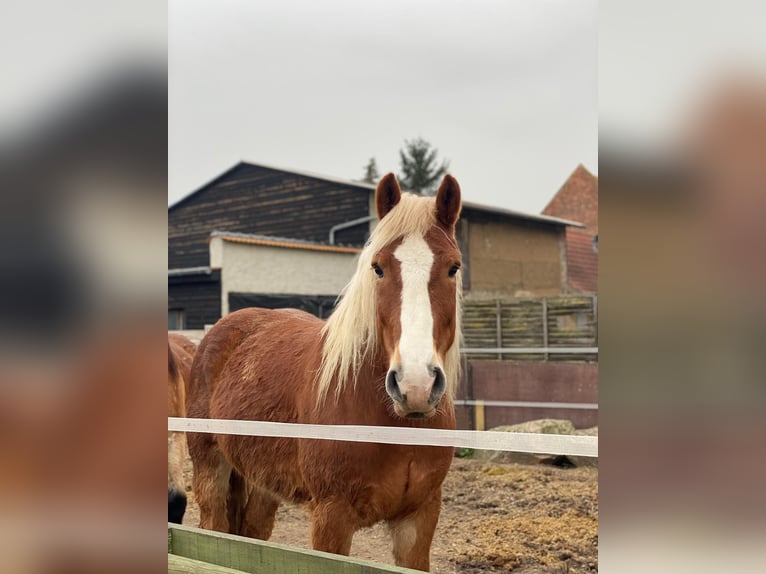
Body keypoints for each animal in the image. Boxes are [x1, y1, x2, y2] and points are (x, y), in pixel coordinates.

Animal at [189, 173, 464, 572]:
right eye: (378, 267)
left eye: (453, 267)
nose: (416, 385)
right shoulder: (332, 517)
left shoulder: (419, 517)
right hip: (211, 471)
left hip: (263, 484)